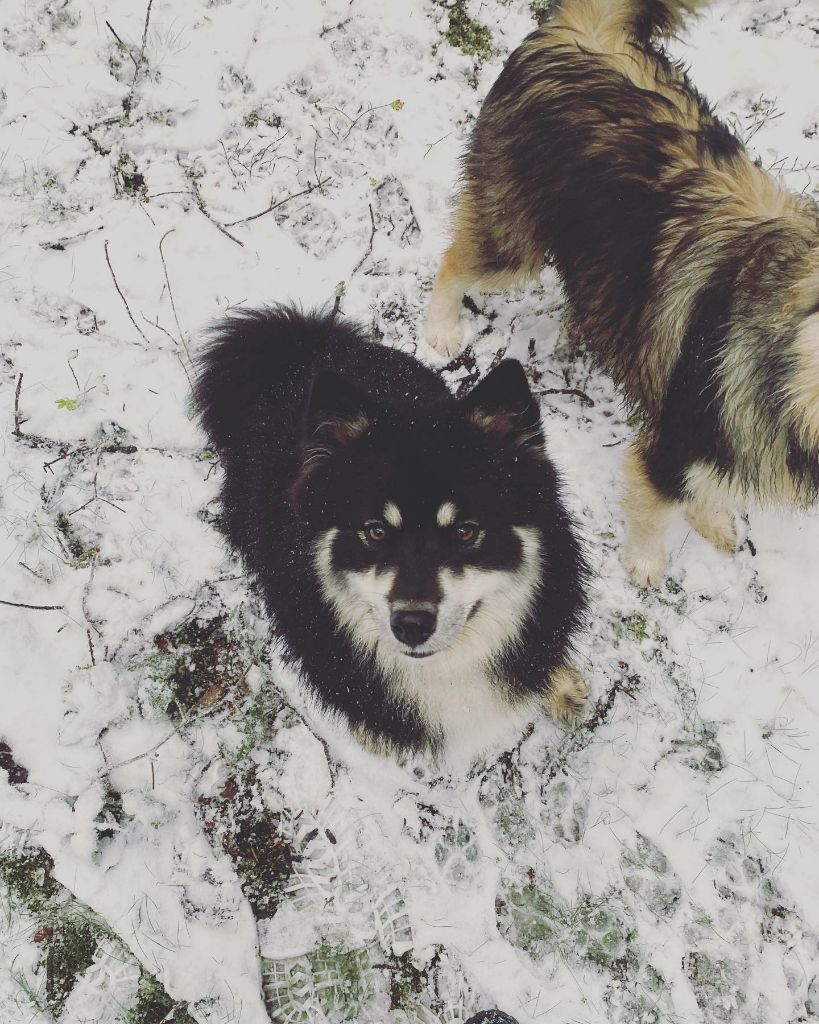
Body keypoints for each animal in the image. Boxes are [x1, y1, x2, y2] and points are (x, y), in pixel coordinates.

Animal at [193, 305, 589, 761]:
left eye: (465, 531)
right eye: (376, 531)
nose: (412, 625)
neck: (445, 666)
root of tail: (302, 353)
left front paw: (558, 683)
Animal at [427, 0, 818, 589]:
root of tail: (586, 25)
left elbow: (709, 488)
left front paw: (713, 522)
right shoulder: (678, 438)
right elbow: (655, 506)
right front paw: (646, 562)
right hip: (512, 243)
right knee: (453, 264)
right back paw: (442, 328)